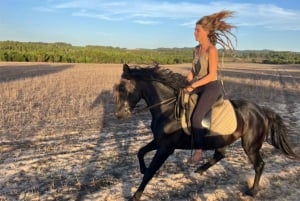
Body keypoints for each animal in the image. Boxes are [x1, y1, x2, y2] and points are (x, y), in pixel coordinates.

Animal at [112, 63, 298, 200]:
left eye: (123, 88)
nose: (119, 115)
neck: (168, 109)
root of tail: (261, 110)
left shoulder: (165, 148)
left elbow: (150, 171)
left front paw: (135, 196)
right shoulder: (159, 141)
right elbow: (140, 152)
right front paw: (142, 170)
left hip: (250, 145)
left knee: (259, 165)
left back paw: (252, 191)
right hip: (224, 139)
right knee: (221, 154)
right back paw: (200, 170)